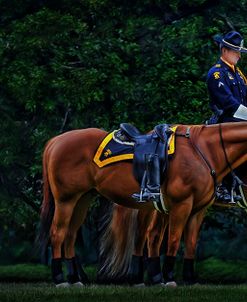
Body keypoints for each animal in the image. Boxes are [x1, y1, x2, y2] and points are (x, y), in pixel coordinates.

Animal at [39, 121, 247, 286]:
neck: (205, 150)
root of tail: (55, 141)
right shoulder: (181, 205)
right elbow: (172, 240)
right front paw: (168, 277)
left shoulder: (197, 210)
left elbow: (189, 243)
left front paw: (188, 278)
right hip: (65, 200)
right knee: (57, 233)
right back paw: (59, 279)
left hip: (82, 199)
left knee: (70, 235)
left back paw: (74, 278)